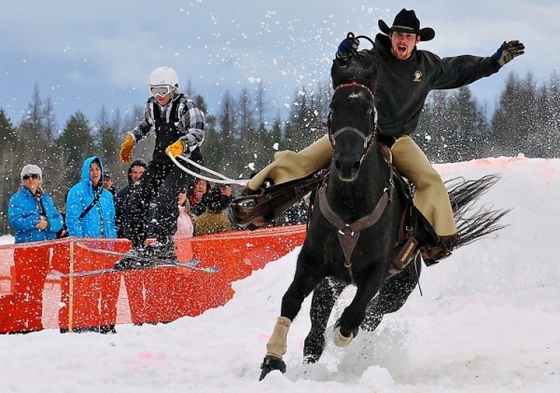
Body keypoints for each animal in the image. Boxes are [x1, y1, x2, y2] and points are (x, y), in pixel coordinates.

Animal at [258, 81, 508, 378]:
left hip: (397, 291)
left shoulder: (376, 271)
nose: (347, 163)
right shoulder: (312, 262)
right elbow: (291, 299)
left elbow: (355, 314)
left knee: (371, 316)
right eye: (333, 109)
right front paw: (272, 360)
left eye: (369, 112)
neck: (350, 208)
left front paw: (343, 333)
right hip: (333, 283)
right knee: (316, 332)